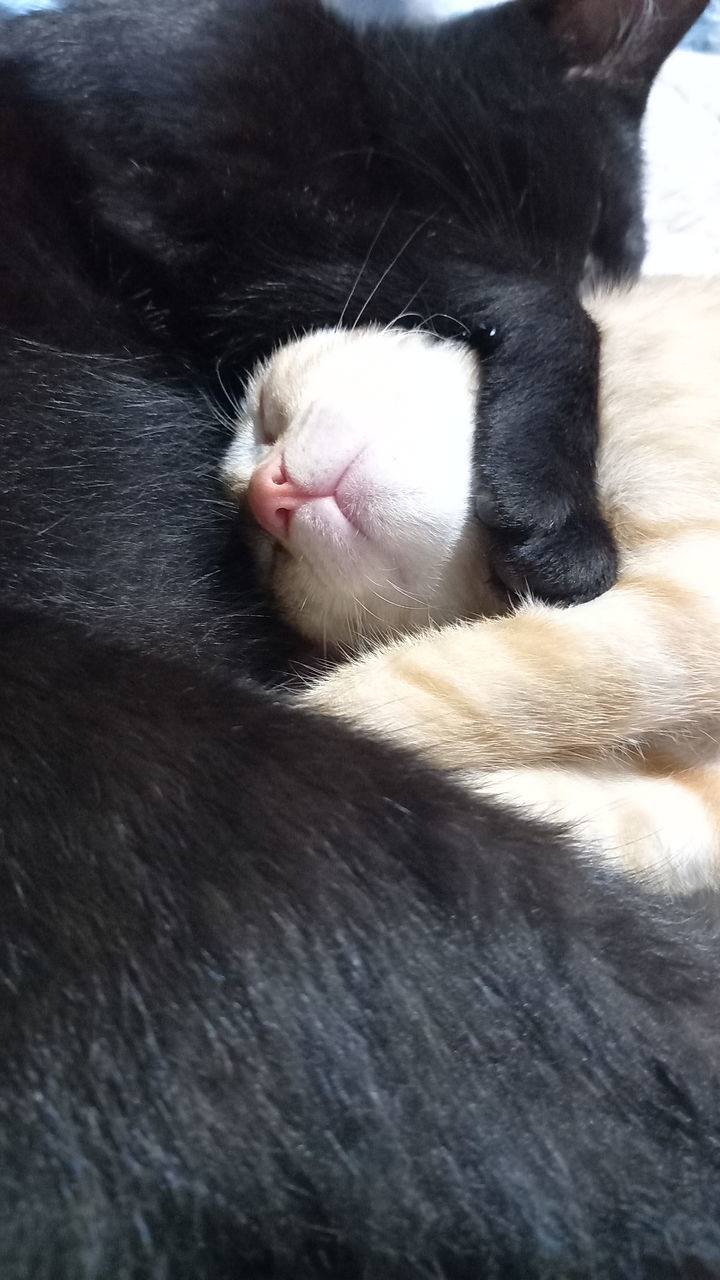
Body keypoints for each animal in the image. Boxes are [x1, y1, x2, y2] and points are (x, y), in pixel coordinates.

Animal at [221, 281, 717, 896]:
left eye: (268, 418)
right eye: (268, 560)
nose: (268, 494)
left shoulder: (687, 603)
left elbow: (461, 684)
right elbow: (600, 827)